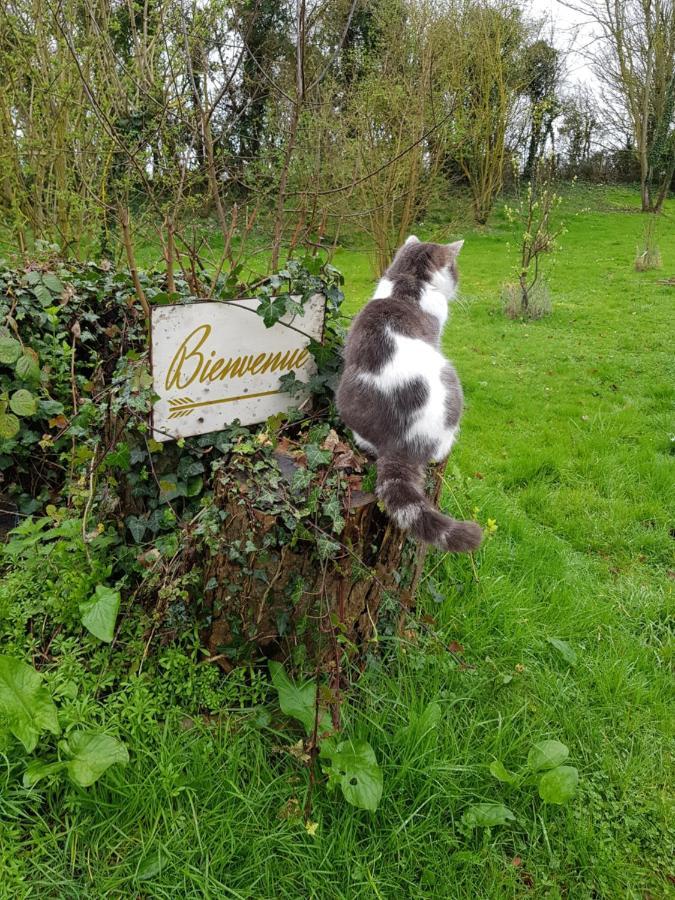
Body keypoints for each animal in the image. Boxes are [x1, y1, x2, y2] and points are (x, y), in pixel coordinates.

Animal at [336, 236, 484, 552]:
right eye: (454, 269)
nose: (458, 283)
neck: (408, 283)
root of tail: (401, 442)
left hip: (345, 395)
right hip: (450, 378)